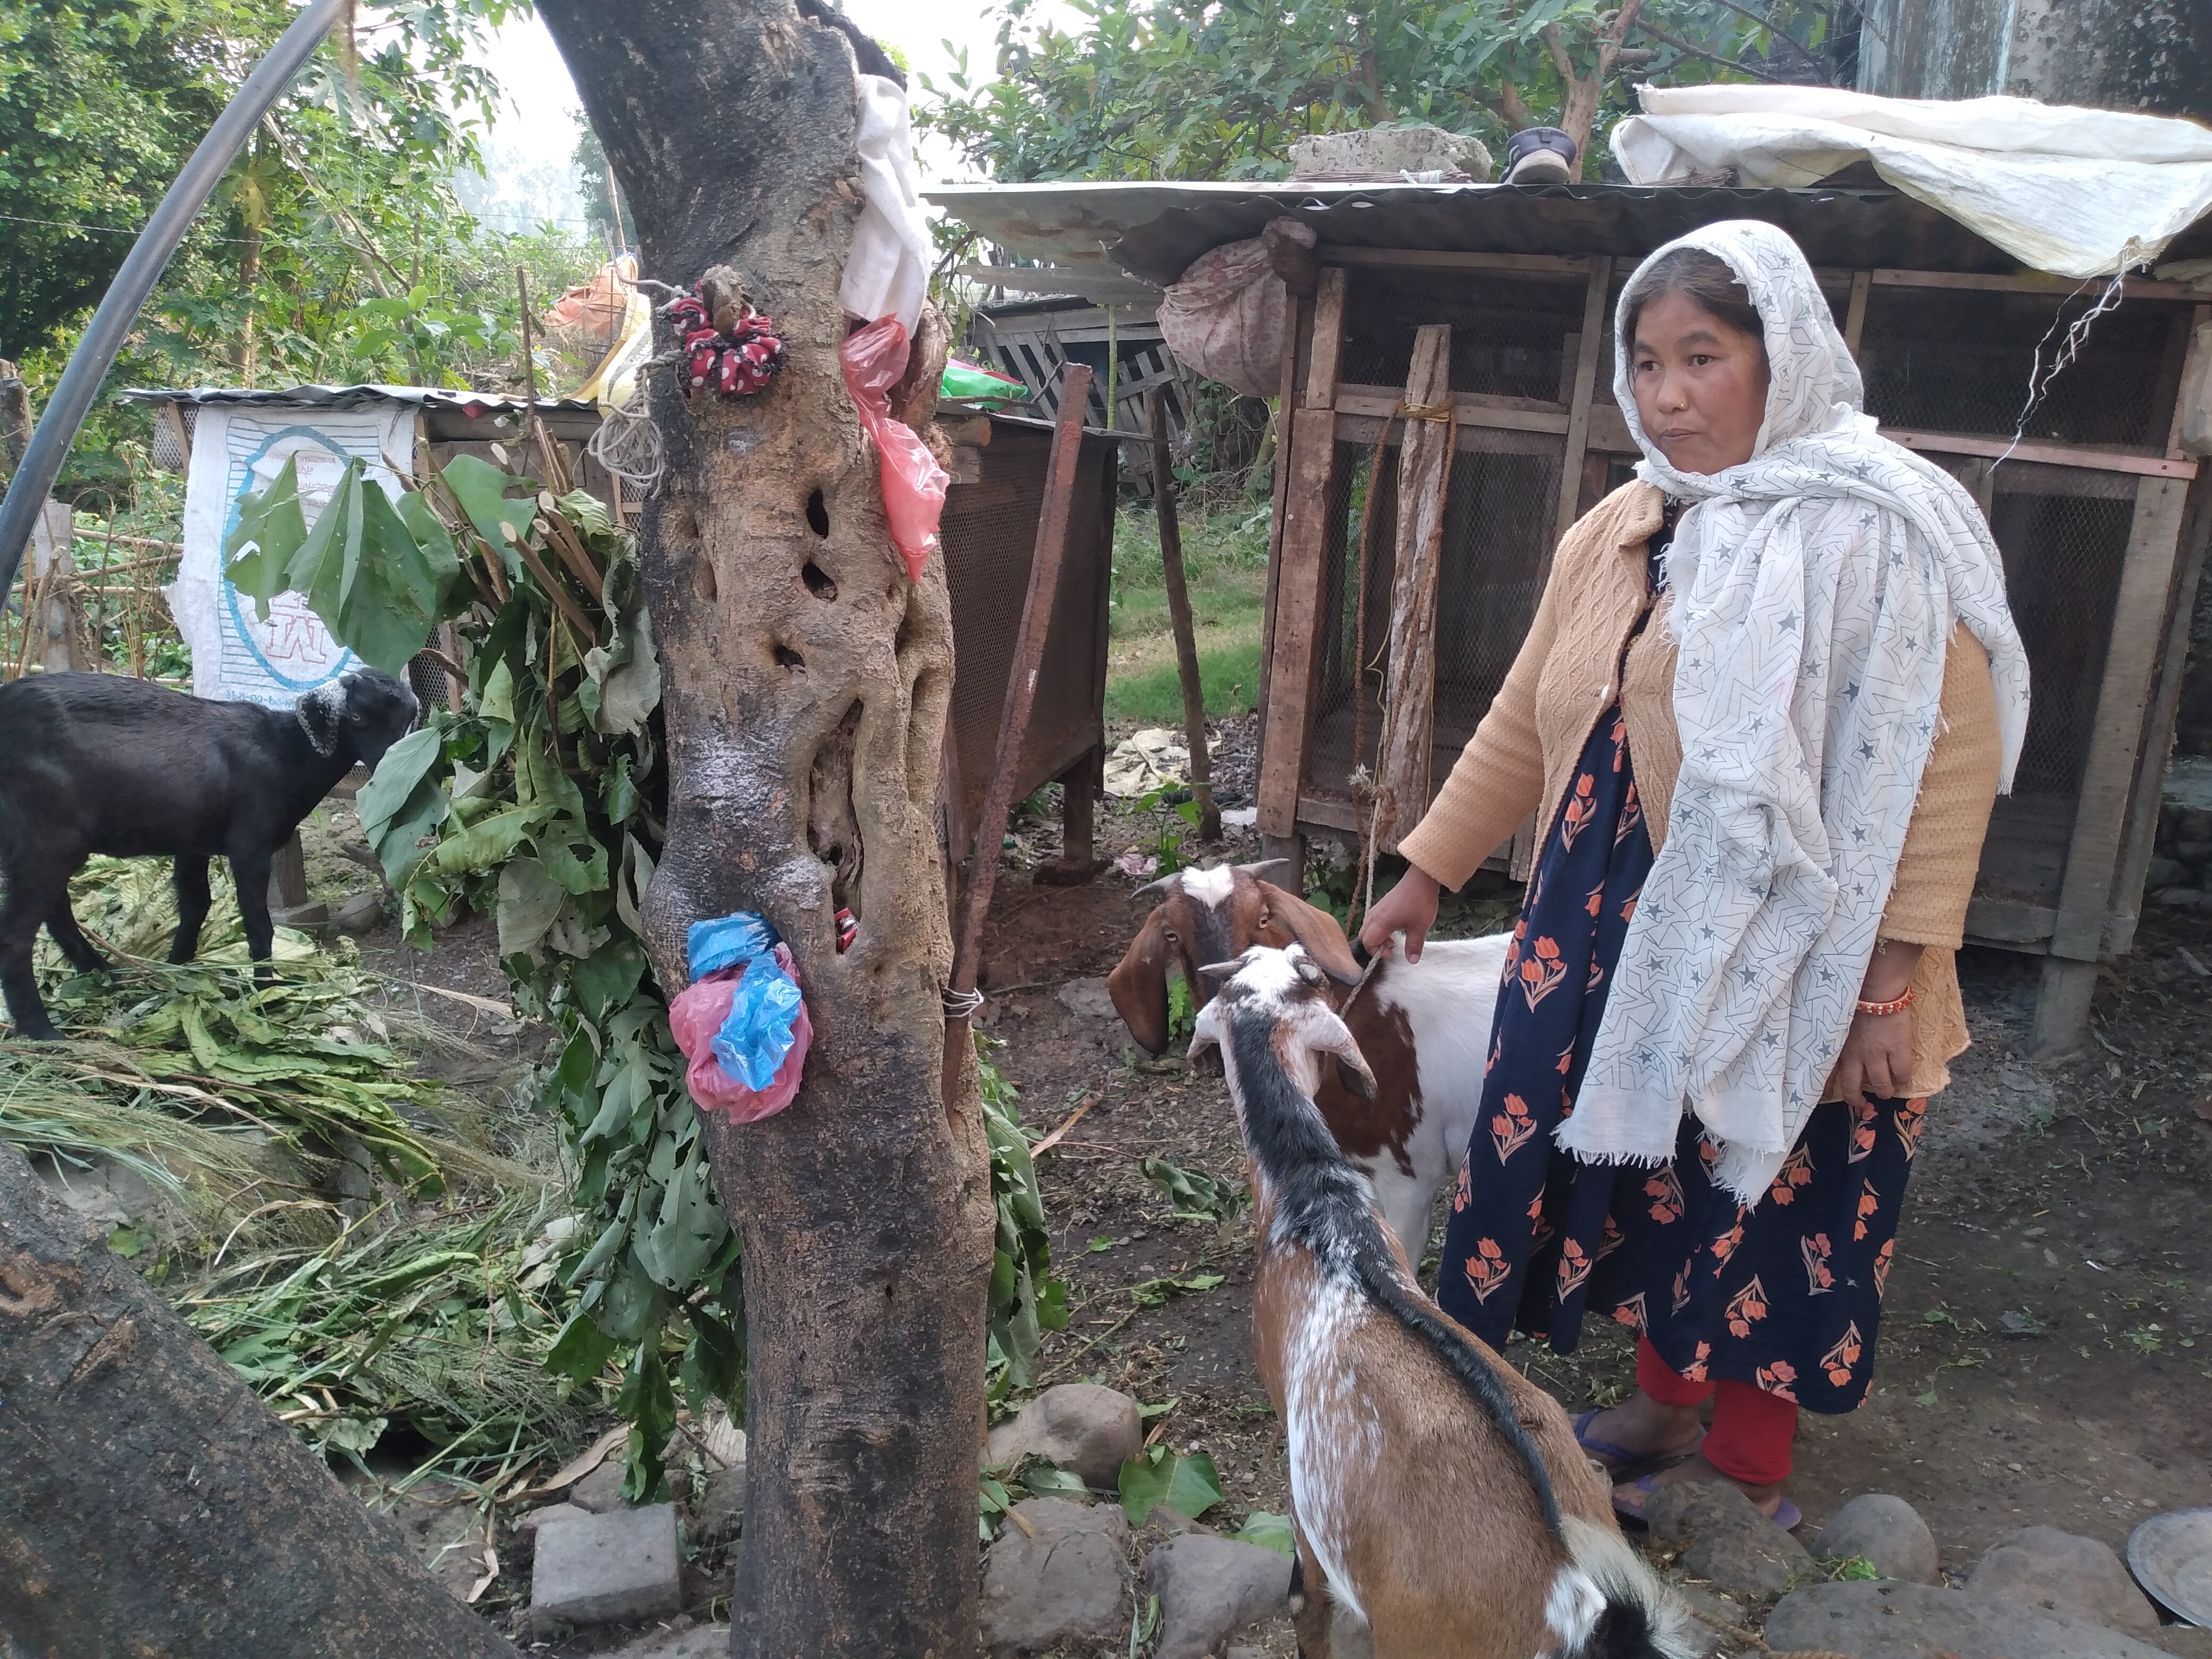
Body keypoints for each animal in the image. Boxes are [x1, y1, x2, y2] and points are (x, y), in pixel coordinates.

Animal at [0, 672, 418, 1040]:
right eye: (358, 716)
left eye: (408, 717)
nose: (390, 764)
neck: (285, 752)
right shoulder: (250, 844)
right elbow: (258, 923)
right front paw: (267, 993)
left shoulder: (193, 843)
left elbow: (196, 905)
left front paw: (177, 969)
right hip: (48, 840)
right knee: (17, 934)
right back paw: (42, 1031)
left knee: (57, 915)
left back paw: (103, 974)